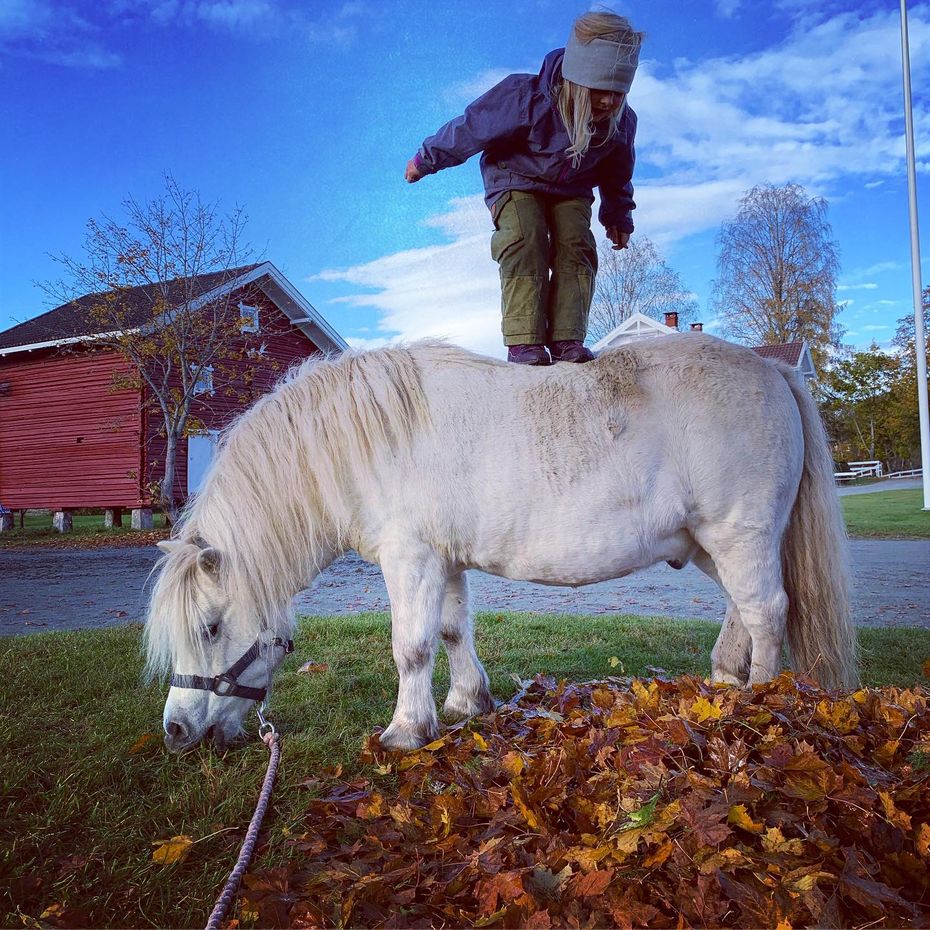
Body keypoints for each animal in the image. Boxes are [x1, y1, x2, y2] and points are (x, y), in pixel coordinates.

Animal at [145, 338, 856, 752]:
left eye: (210, 627)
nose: (175, 730)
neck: (369, 443)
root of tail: (773, 370)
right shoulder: (445, 561)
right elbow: (453, 631)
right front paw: (465, 704)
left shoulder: (411, 560)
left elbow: (411, 647)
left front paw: (405, 730)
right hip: (711, 545)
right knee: (745, 608)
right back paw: (723, 684)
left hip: (740, 534)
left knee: (767, 611)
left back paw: (756, 704)